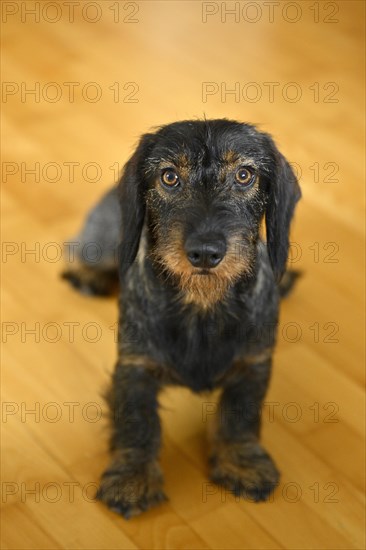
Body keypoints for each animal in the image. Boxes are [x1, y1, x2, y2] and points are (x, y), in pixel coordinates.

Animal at [63, 118, 302, 520]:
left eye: (244, 175)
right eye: (169, 176)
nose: (205, 253)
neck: (201, 306)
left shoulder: (254, 364)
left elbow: (240, 415)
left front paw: (243, 463)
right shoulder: (134, 367)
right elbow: (138, 423)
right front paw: (132, 479)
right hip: (103, 242)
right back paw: (88, 276)